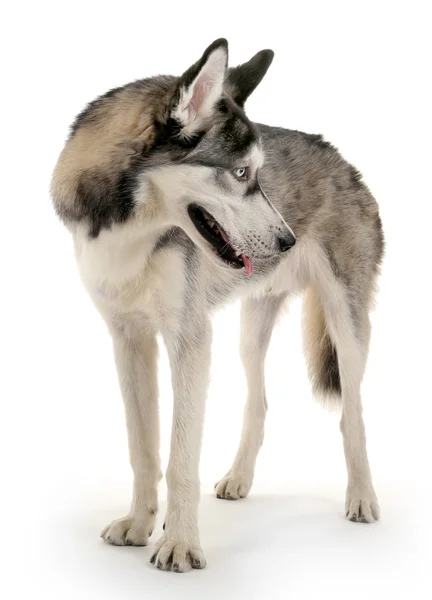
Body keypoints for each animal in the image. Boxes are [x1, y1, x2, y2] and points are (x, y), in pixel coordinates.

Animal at [51, 39, 384, 576]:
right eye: (242, 173)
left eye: (257, 174)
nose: (288, 241)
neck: (129, 230)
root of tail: (340, 157)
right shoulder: (129, 340)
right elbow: (143, 450)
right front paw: (139, 524)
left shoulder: (190, 341)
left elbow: (180, 456)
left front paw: (179, 545)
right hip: (249, 336)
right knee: (260, 402)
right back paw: (239, 479)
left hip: (347, 330)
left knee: (352, 413)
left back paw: (362, 496)